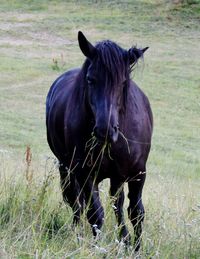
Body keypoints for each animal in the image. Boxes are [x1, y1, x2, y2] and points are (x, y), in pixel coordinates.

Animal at [46, 31, 154, 252]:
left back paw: (124, 239)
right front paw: (95, 247)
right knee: (76, 203)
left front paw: (135, 248)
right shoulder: (86, 174)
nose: (106, 130)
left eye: (123, 82)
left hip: (117, 176)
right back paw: (79, 235)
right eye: (90, 79)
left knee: (117, 204)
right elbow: (95, 214)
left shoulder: (138, 173)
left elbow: (136, 212)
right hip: (67, 169)